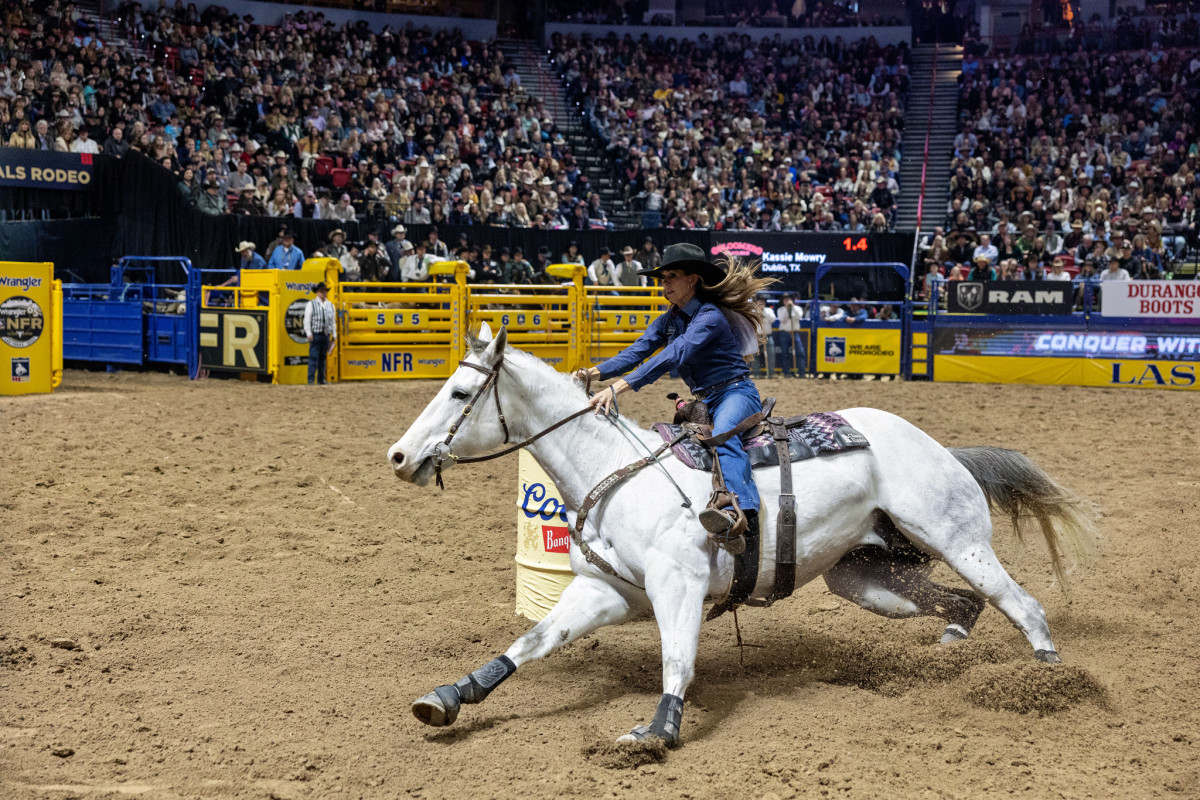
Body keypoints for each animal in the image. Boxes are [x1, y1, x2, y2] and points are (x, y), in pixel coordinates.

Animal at [391, 323, 1099, 743]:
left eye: (459, 395)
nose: (398, 457)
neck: (616, 472)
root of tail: (940, 447)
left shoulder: (678, 588)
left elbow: (678, 659)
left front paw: (656, 734)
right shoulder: (604, 593)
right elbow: (530, 642)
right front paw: (446, 698)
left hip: (959, 541)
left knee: (1023, 606)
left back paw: (1049, 686)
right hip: (867, 577)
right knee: (961, 604)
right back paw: (946, 655)